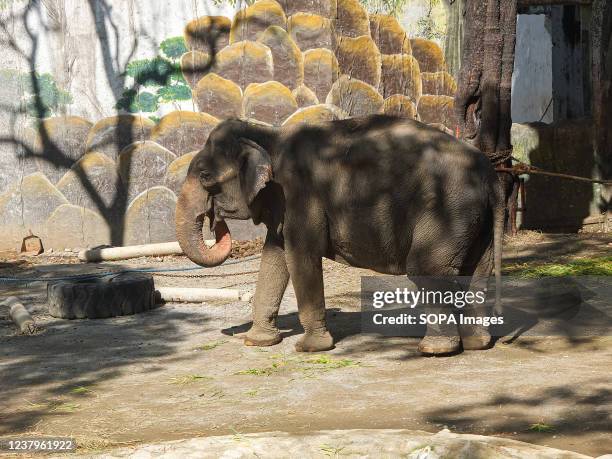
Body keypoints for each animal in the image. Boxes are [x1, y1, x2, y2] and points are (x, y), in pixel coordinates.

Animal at [175, 115, 504, 356]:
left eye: (205, 176)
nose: (215, 220)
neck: (269, 134)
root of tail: (490, 173)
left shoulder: (300, 195)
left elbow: (301, 256)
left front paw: (309, 348)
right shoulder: (282, 203)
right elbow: (274, 257)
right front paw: (256, 342)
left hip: (447, 209)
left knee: (426, 270)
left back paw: (435, 350)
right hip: (475, 219)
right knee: (478, 272)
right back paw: (477, 344)